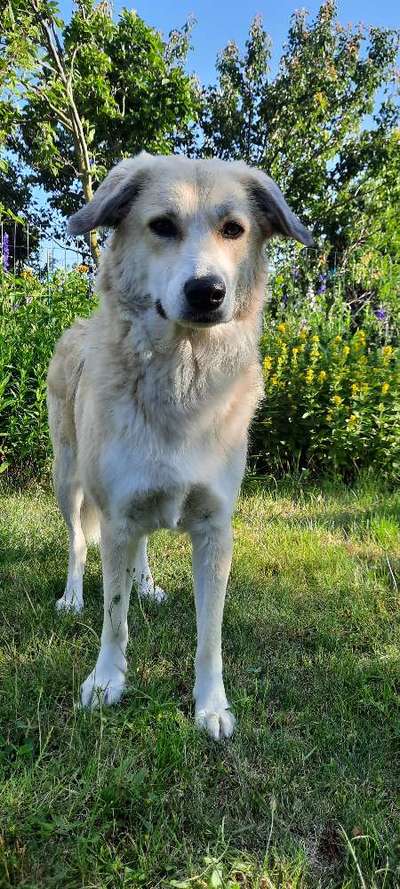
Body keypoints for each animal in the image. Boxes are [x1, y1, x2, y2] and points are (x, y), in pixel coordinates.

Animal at [47, 153, 312, 736]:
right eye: (162, 225)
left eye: (233, 229)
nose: (207, 292)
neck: (182, 378)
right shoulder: (117, 514)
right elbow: (114, 617)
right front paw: (107, 681)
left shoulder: (214, 527)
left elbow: (209, 635)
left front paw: (211, 705)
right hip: (69, 479)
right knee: (78, 544)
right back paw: (73, 595)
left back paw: (146, 583)